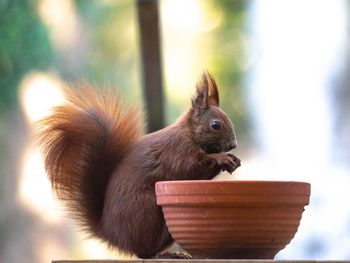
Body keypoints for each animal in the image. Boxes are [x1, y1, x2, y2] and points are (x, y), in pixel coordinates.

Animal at [37, 72, 242, 260]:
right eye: (215, 125)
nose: (233, 145)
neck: (189, 133)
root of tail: (111, 234)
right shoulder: (176, 151)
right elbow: (190, 167)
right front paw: (221, 158)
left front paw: (233, 159)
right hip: (146, 210)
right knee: (142, 252)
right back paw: (166, 255)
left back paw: (172, 253)